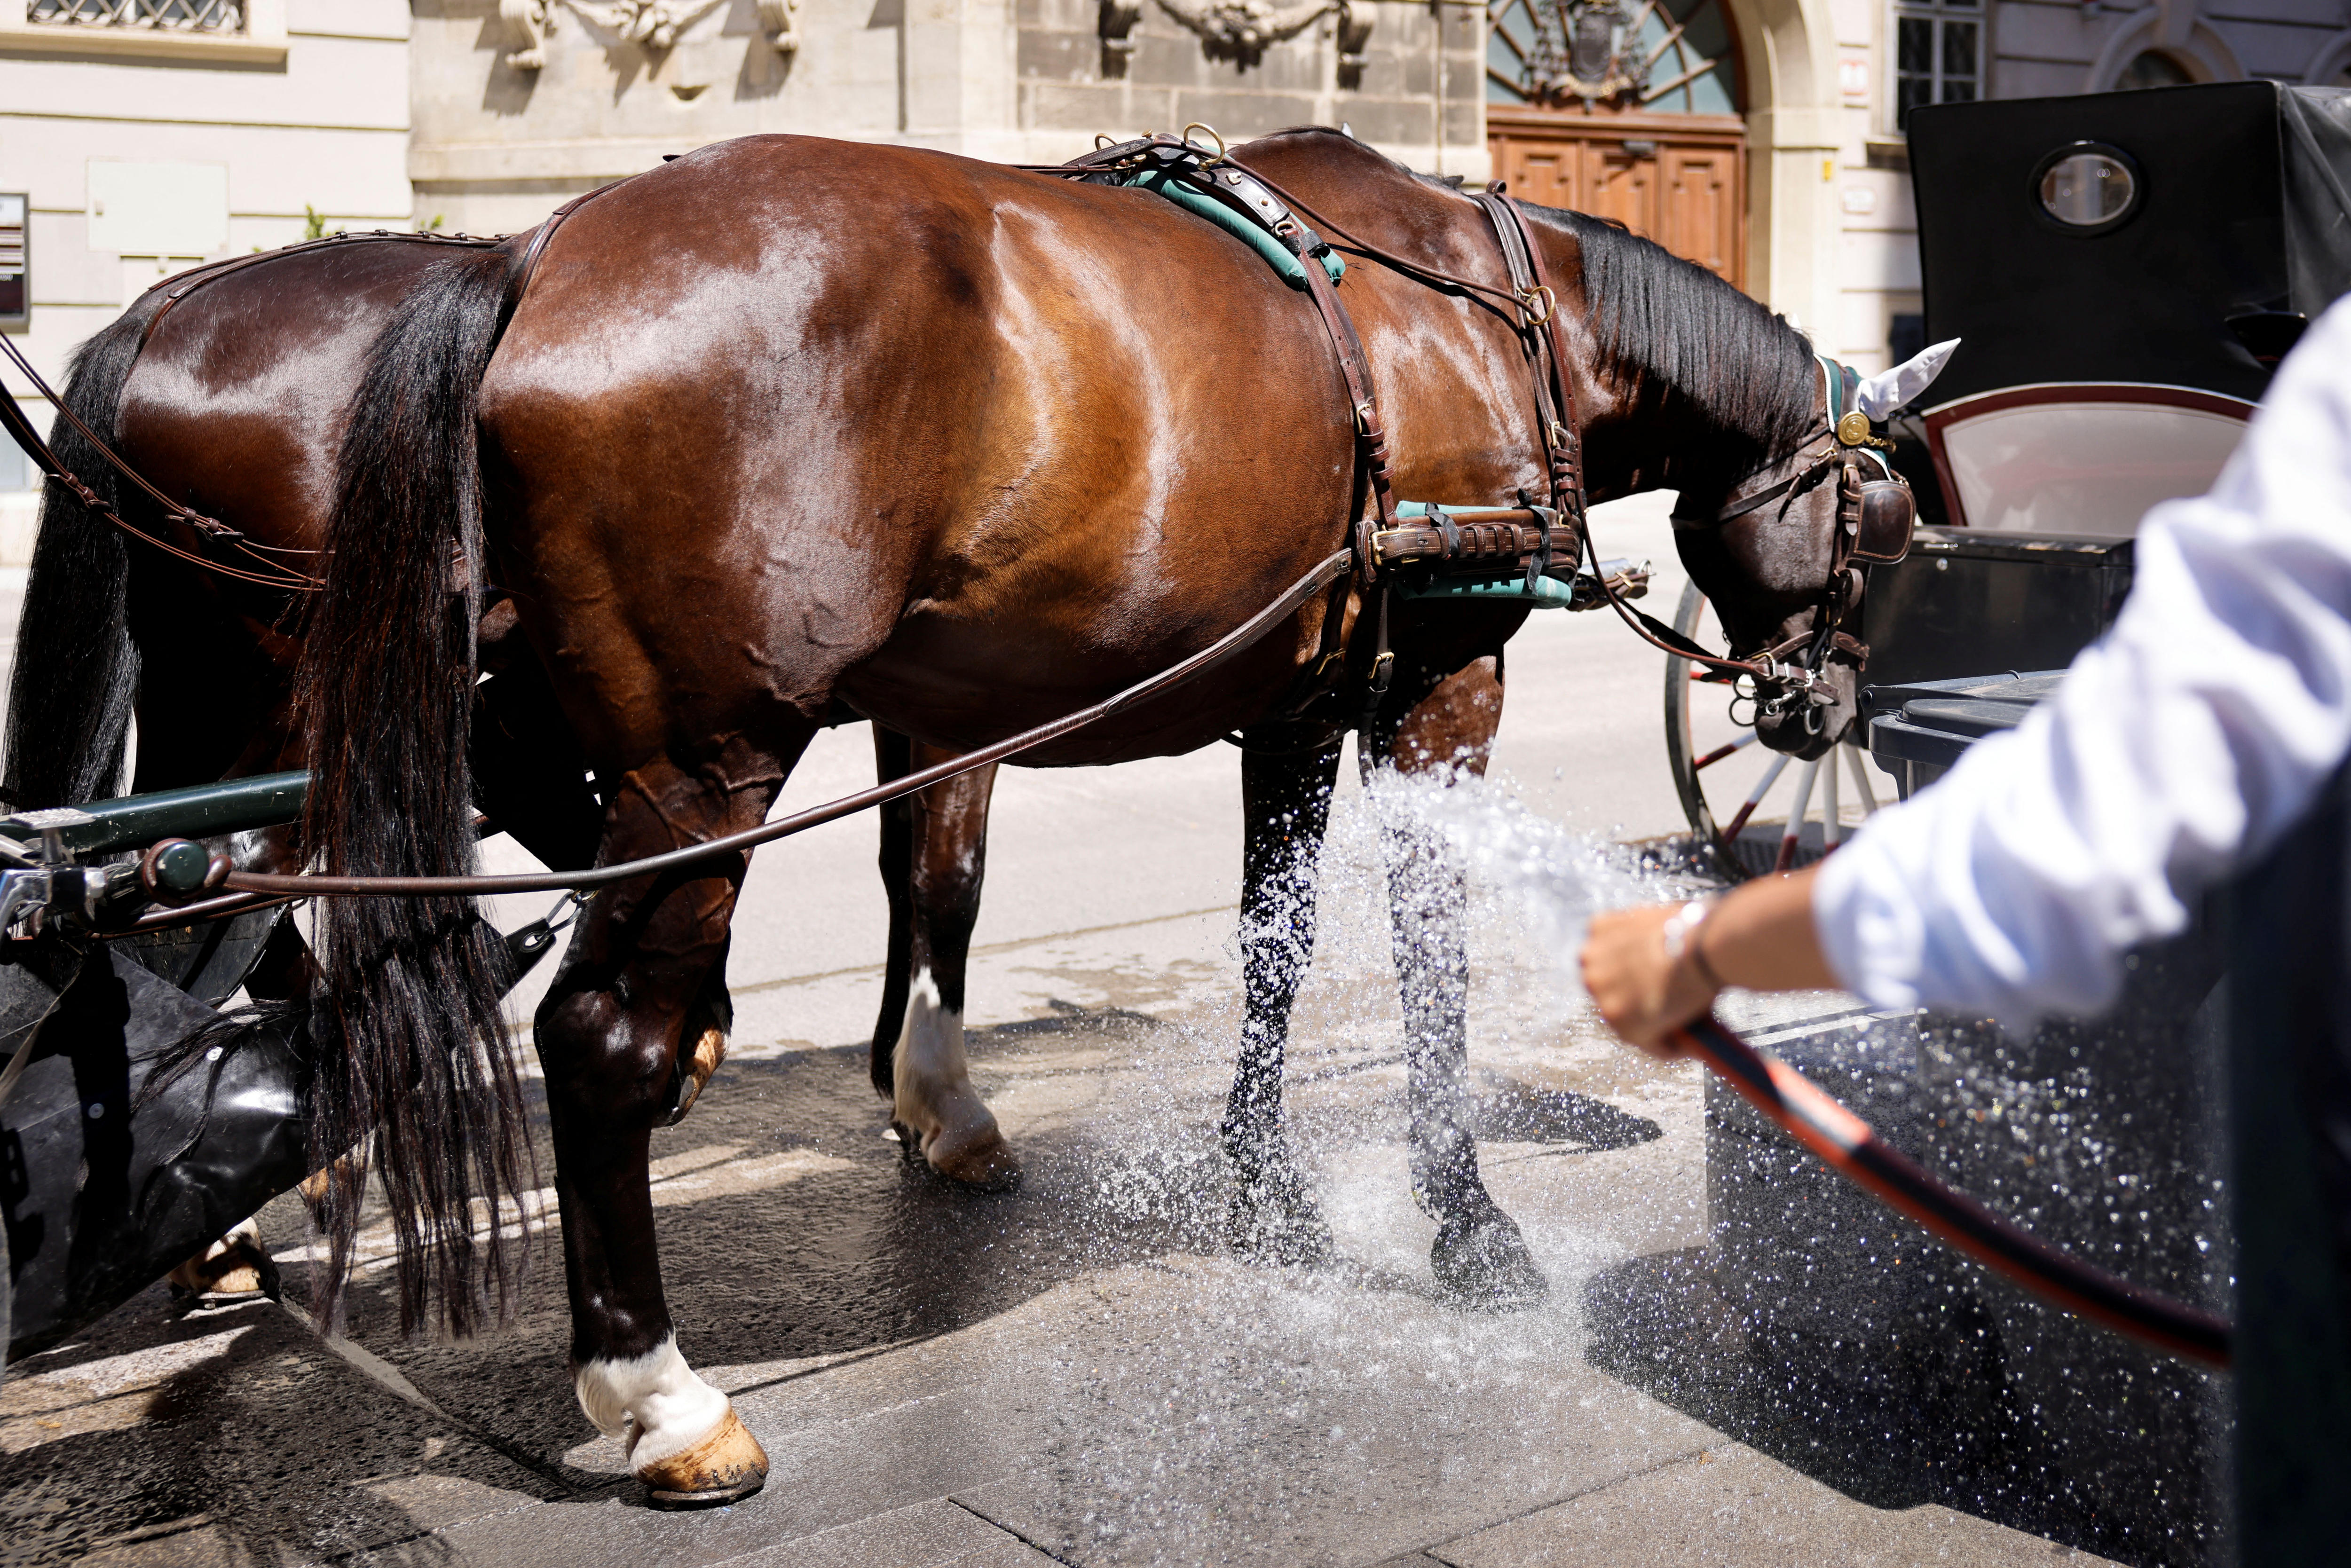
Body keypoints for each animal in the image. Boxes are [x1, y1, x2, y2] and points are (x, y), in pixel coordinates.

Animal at [283, 126, 1870, 1507]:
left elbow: (1273, 947)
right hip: (705, 763)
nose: (1825, 702)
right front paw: (1464, 1219)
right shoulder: (1439, 687)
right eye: (1889, 523)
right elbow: (1432, 957)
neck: (1491, 312)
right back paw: (660, 1392)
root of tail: (537, 254)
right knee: (601, 1037)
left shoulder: (1295, 708)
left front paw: (1264, 1185)